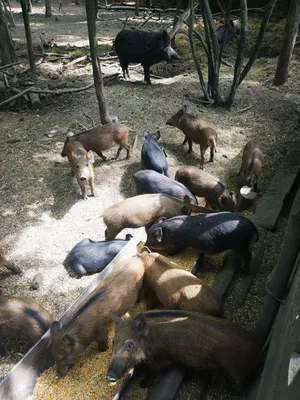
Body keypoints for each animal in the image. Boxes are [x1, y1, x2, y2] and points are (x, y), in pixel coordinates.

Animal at [106, 310, 264, 390]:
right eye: (113, 342)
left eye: (129, 345)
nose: (110, 376)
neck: (149, 340)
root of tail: (259, 350)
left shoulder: (159, 359)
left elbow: (155, 371)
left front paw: (143, 385)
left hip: (235, 368)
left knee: (245, 382)